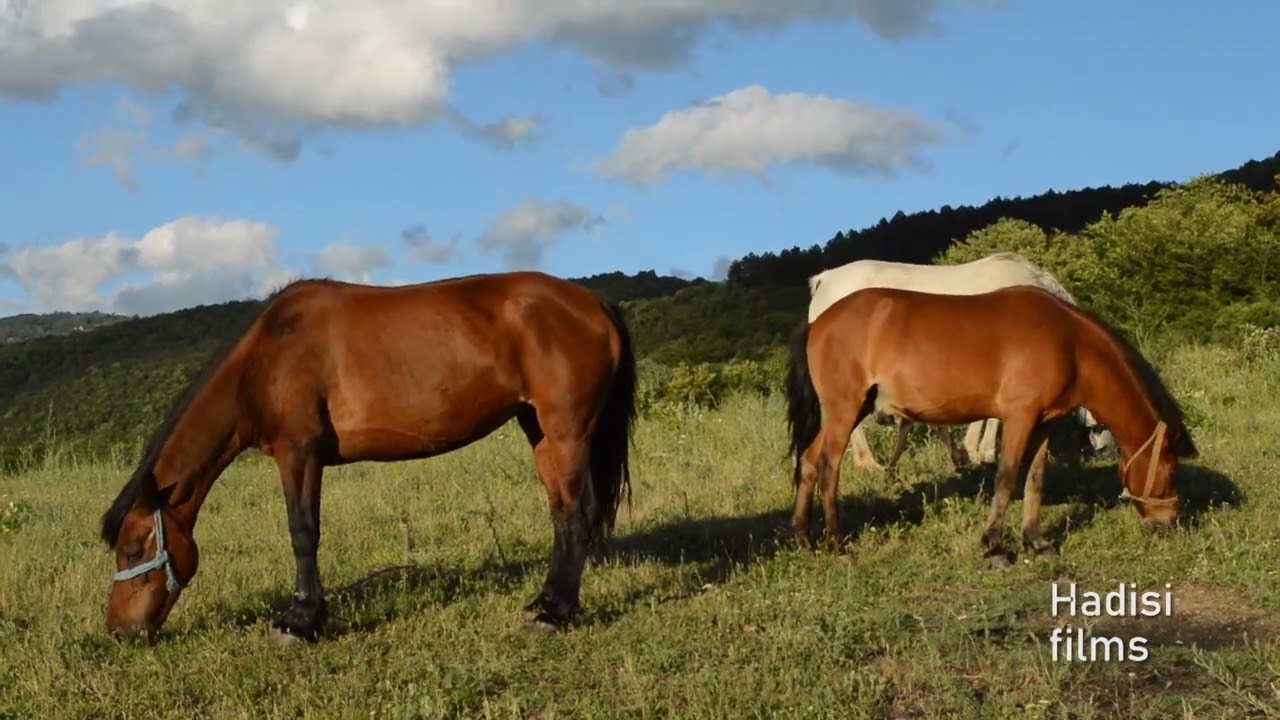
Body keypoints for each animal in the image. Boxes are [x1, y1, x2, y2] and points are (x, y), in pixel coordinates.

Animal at [99, 271, 637, 643]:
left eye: (134, 549)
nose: (119, 631)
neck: (268, 356)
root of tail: (594, 303)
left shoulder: (299, 453)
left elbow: (303, 533)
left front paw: (300, 622)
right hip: (539, 430)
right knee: (560, 514)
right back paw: (544, 601)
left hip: (568, 432)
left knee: (578, 513)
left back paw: (556, 613)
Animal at [785, 285, 1196, 566]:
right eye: (1171, 471)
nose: (1169, 523)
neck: (1069, 342)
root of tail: (817, 323)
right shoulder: (1018, 418)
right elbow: (1007, 476)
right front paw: (995, 547)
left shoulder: (1043, 423)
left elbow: (1035, 480)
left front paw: (1036, 542)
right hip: (845, 410)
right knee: (828, 467)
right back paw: (837, 544)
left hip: (850, 410)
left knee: (808, 460)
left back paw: (803, 537)